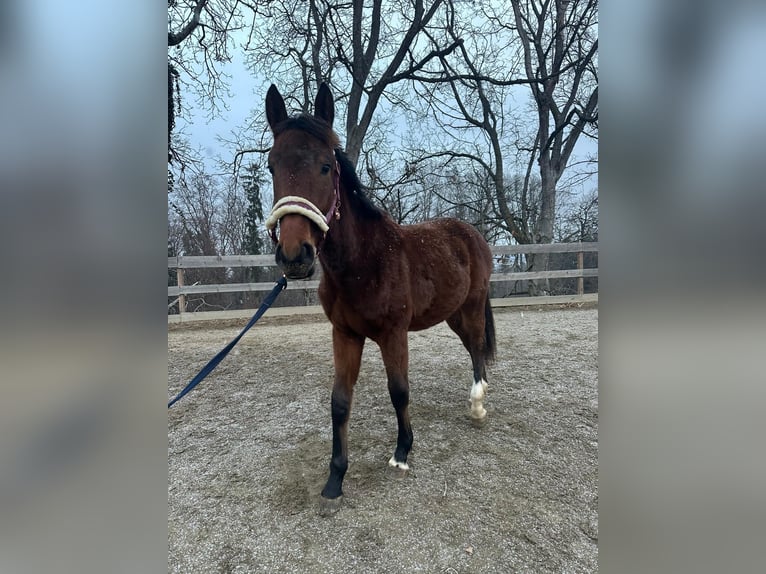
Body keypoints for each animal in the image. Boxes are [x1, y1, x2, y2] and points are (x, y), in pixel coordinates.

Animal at [264, 82, 498, 512]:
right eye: (272, 166)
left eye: (326, 166)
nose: (294, 255)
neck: (364, 263)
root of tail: (470, 233)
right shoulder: (345, 334)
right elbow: (340, 401)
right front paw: (335, 479)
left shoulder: (394, 333)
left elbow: (399, 390)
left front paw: (402, 452)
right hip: (452, 313)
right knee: (473, 348)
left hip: (472, 306)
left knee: (476, 346)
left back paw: (477, 404)